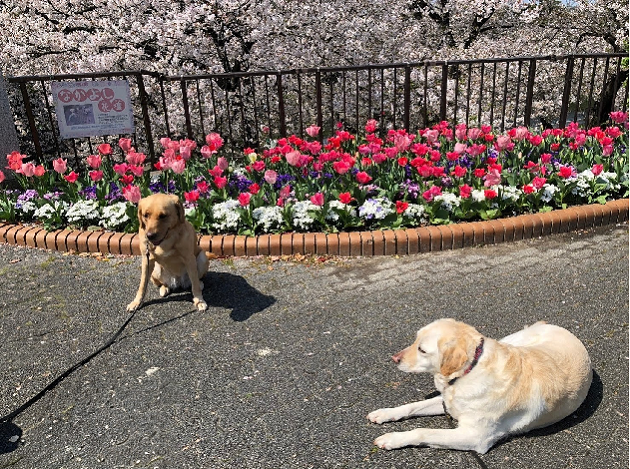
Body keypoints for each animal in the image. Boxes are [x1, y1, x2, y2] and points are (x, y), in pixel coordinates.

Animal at [367, 318, 592, 454]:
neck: (471, 369)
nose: (394, 358)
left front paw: (393, 438)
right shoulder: (447, 400)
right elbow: (412, 406)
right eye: (415, 340)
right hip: (512, 340)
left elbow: (423, 431)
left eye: (422, 349)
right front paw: (385, 413)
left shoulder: (475, 436)